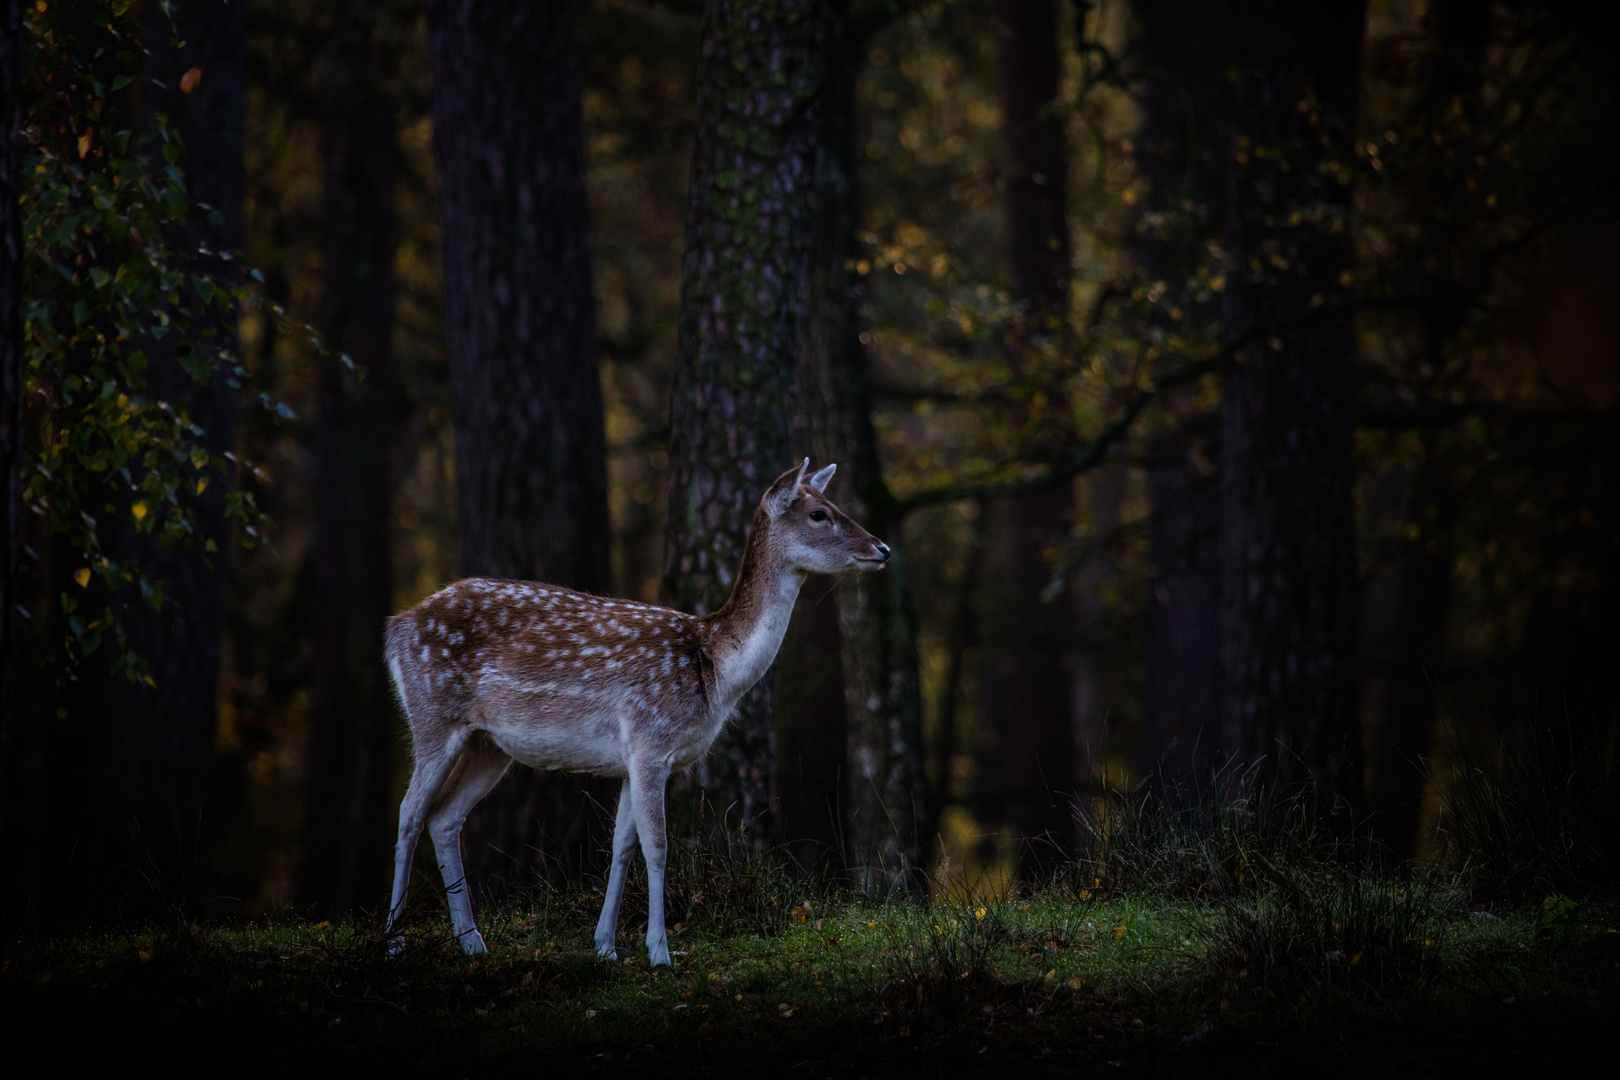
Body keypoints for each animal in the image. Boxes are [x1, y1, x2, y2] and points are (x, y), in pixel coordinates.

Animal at [382, 459, 887, 965]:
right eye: (820, 514)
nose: (881, 548)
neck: (714, 668)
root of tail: (397, 628)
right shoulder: (650, 740)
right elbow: (658, 846)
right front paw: (660, 951)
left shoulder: (629, 757)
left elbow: (622, 844)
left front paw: (606, 945)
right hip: (432, 712)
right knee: (410, 812)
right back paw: (394, 942)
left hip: (489, 744)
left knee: (444, 817)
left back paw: (472, 941)